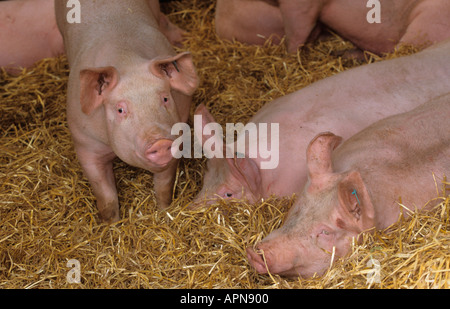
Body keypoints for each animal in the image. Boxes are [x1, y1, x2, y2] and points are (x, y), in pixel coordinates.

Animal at [55, 0, 199, 221]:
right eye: (121, 109)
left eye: (165, 98)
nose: (160, 141)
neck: (126, 58)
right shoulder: (85, 143)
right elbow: (105, 196)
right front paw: (113, 224)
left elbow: (164, 185)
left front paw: (163, 212)